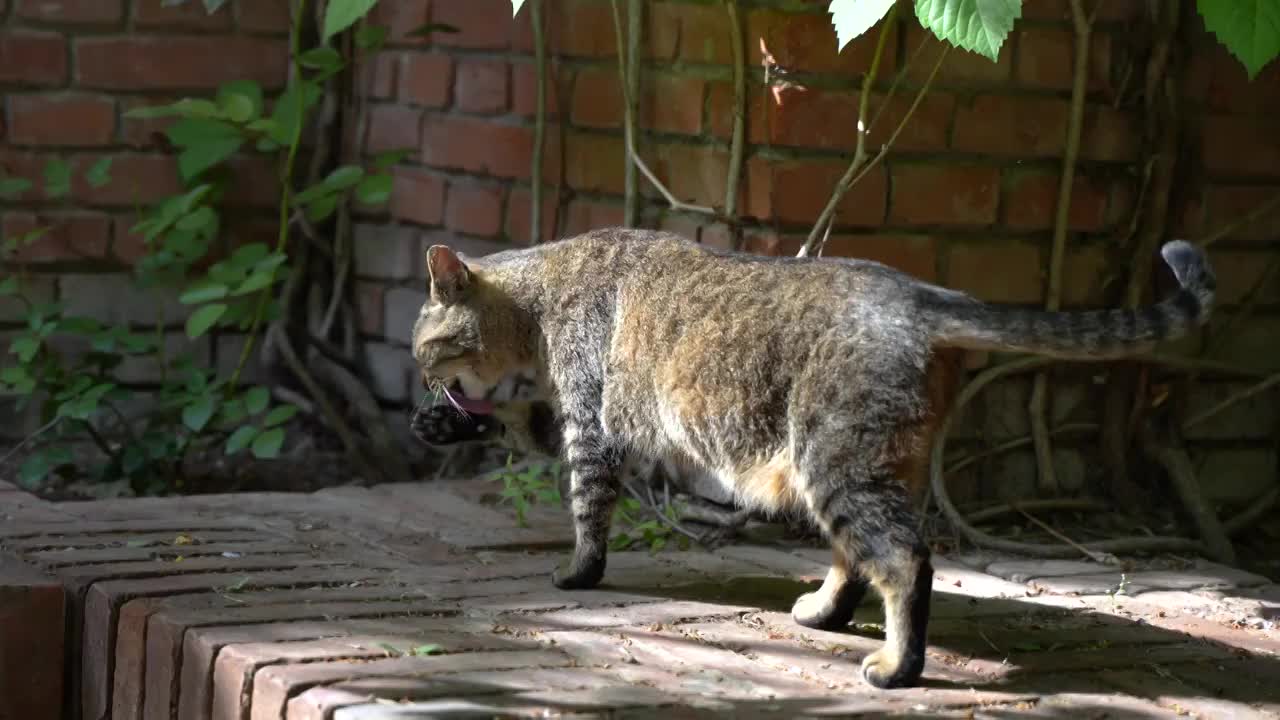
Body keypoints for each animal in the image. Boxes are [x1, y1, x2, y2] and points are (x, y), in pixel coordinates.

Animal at [404, 226, 1213, 686]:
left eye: (422, 347)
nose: (419, 379)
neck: (538, 309)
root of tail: (926, 294)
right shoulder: (575, 420)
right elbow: (515, 425)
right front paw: (444, 426)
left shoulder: (591, 426)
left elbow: (585, 512)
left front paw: (578, 572)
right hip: (872, 466)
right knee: (859, 560)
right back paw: (824, 613)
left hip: (838, 462)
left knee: (905, 563)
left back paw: (897, 668)